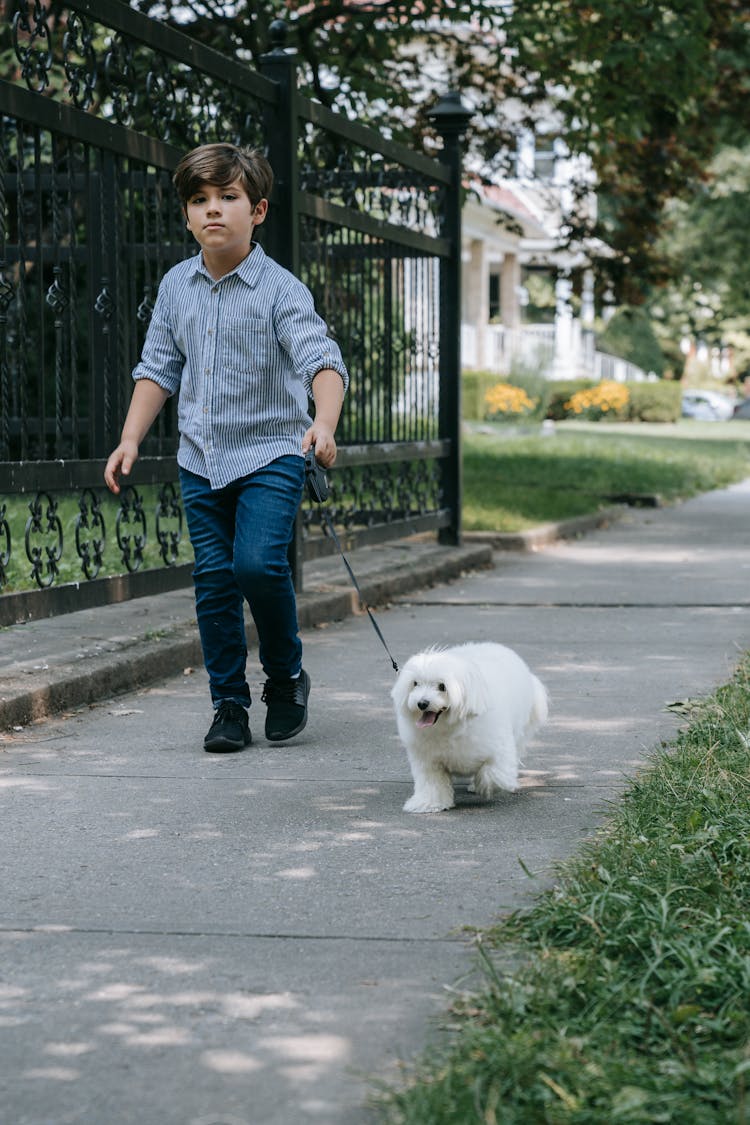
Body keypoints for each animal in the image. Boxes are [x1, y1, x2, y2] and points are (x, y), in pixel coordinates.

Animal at [393, 648, 546, 814]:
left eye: (442, 686)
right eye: (415, 683)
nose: (421, 703)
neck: (449, 727)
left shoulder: (498, 749)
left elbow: (493, 772)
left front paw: (484, 786)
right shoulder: (428, 761)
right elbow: (431, 782)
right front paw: (428, 803)